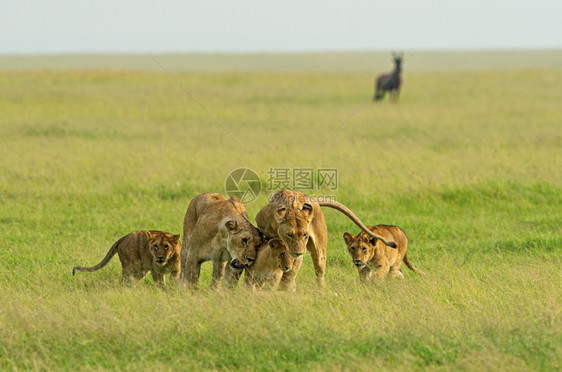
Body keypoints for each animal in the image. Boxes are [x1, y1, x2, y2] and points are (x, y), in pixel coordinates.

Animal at [256, 189, 396, 290]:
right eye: (289, 235)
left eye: (305, 235)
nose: (299, 252)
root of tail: (311, 199)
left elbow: (289, 274)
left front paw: (284, 290)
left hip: (320, 249)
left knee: (320, 272)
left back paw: (321, 290)